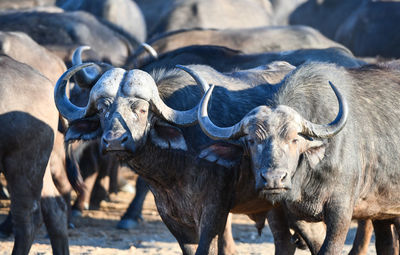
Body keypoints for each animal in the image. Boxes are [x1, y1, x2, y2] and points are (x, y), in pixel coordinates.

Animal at [197, 61, 400, 253]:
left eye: (294, 139)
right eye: (252, 141)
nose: (273, 179)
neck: (308, 177)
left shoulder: (341, 211)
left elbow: (330, 248)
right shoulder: (293, 214)